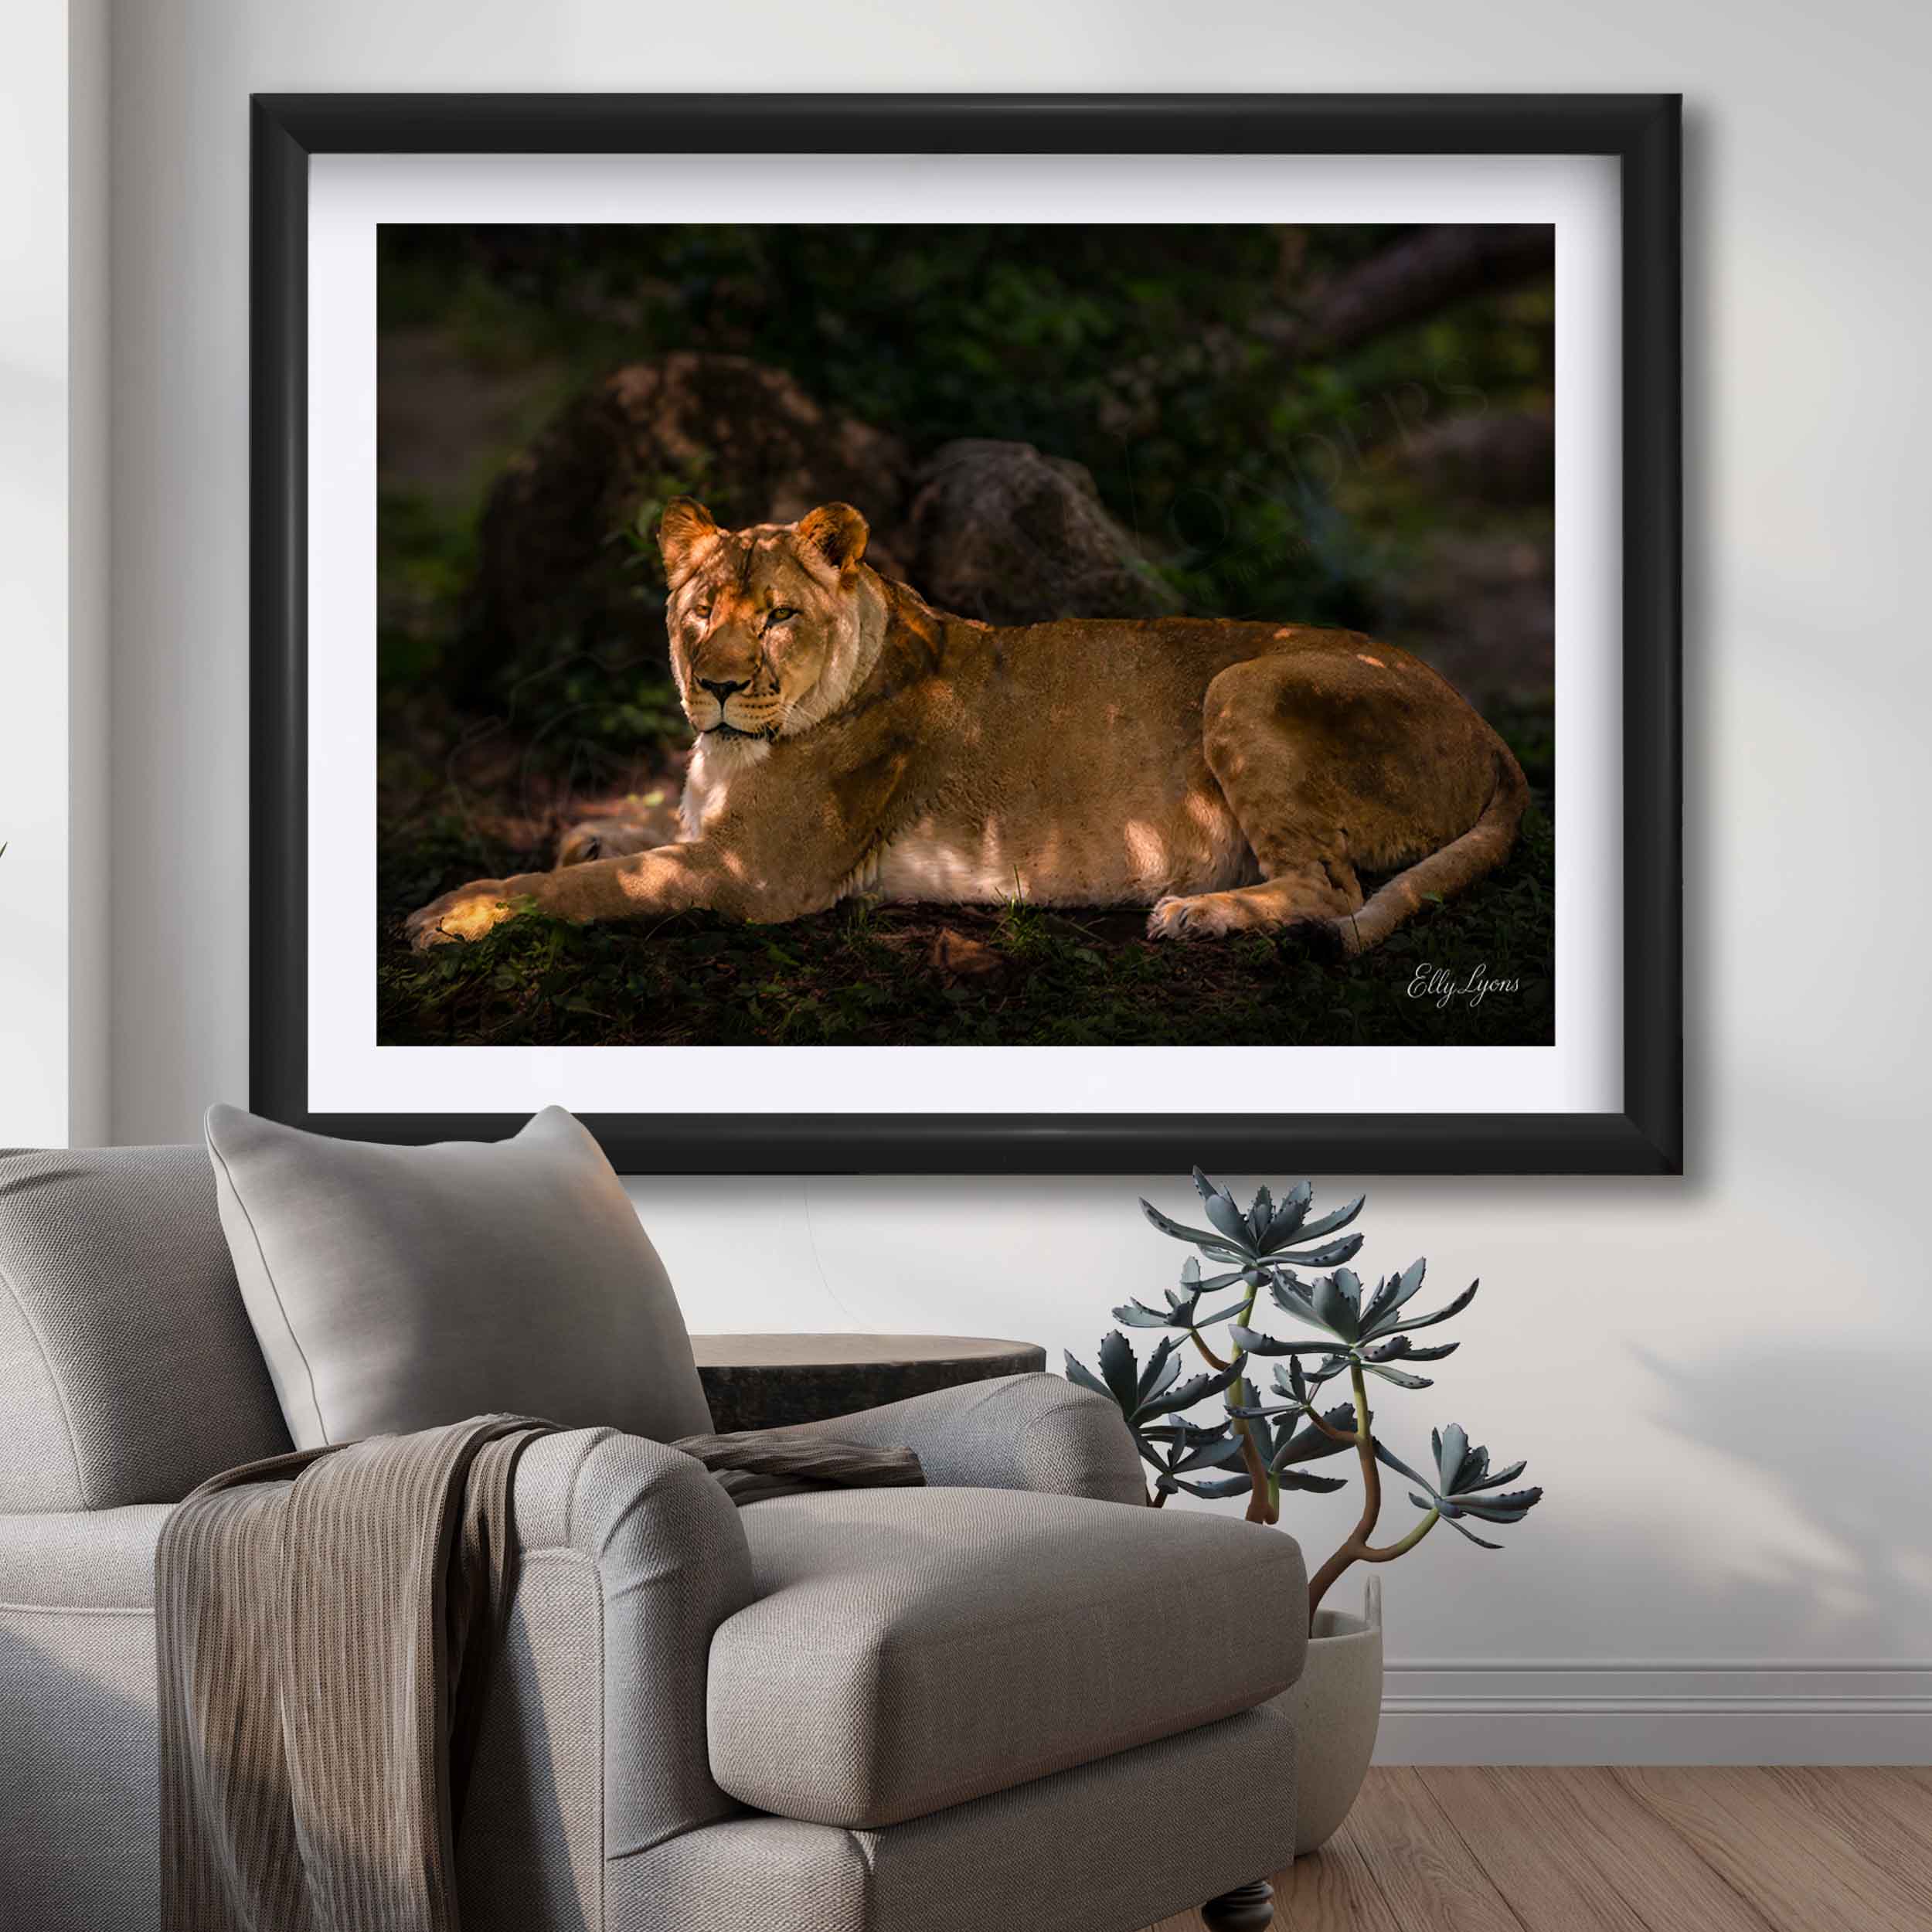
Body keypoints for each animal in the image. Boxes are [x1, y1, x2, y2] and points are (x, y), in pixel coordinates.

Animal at [406, 497, 1528, 958]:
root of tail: (1483, 723)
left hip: (1247, 683)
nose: (717, 686)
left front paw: (455, 910)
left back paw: (1201, 913)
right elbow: (619, 841)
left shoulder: (751, 877)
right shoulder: (710, 835)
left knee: (1331, 886)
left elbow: (587, 887)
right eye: (702, 607)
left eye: (777, 616)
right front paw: (585, 827)